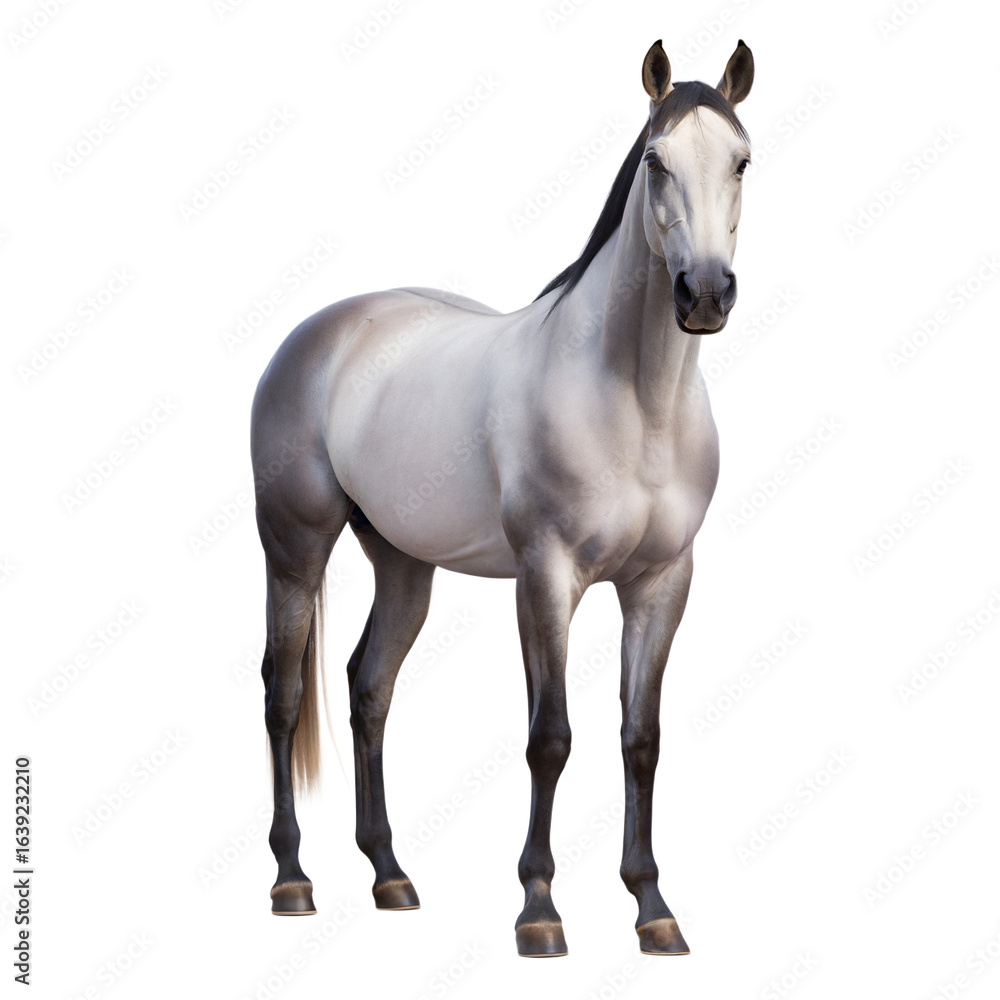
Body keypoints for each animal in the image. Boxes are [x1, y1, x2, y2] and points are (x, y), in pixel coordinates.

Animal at [250, 38, 754, 957]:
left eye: (741, 159)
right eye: (656, 160)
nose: (703, 295)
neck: (634, 405)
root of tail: (319, 331)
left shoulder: (662, 584)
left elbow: (641, 739)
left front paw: (652, 909)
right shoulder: (545, 578)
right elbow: (549, 738)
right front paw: (539, 910)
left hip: (403, 564)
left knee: (369, 685)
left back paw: (390, 875)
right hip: (294, 549)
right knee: (283, 693)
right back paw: (292, 880)